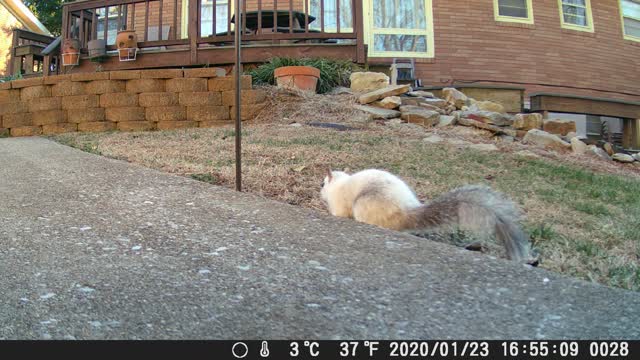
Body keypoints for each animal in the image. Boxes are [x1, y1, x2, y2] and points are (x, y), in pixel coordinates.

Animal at [322, 169, 532, 262]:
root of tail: (406, 212)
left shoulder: (339, 205)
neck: (339, 184)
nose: (320, 192)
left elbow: (339, 213)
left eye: (322, 184)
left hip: (365, 207)